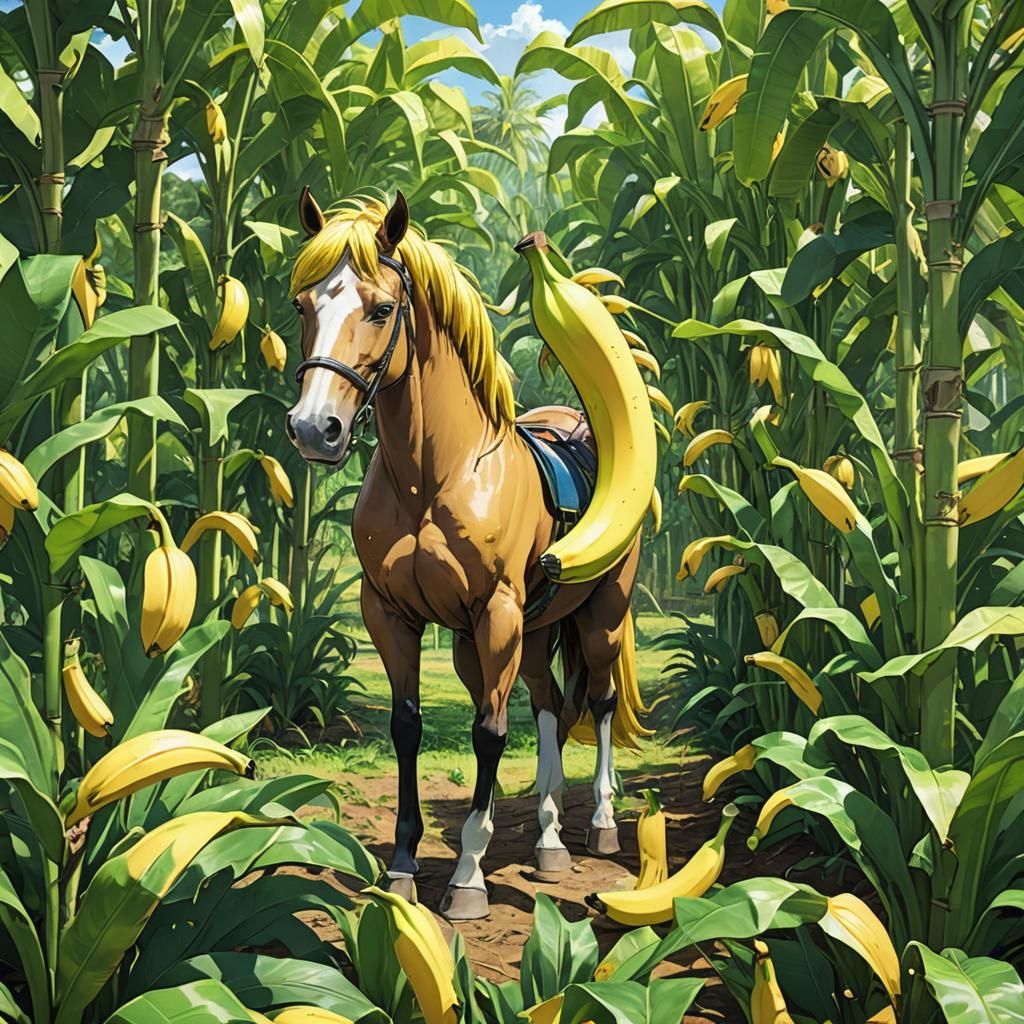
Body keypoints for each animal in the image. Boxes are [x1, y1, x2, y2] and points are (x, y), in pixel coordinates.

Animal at [285, 189, 649, 920]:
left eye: (381, 309)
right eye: (304, 306)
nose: (315, 429)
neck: (434, 475)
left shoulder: (496, 615)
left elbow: (488, 734)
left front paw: (469, 879)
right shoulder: (392, 615)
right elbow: (407, 727)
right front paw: (402, 864)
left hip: (599, 616)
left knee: (595, 702)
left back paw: (598, 826)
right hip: (521, 635)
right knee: (546, 704)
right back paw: (547, 841)